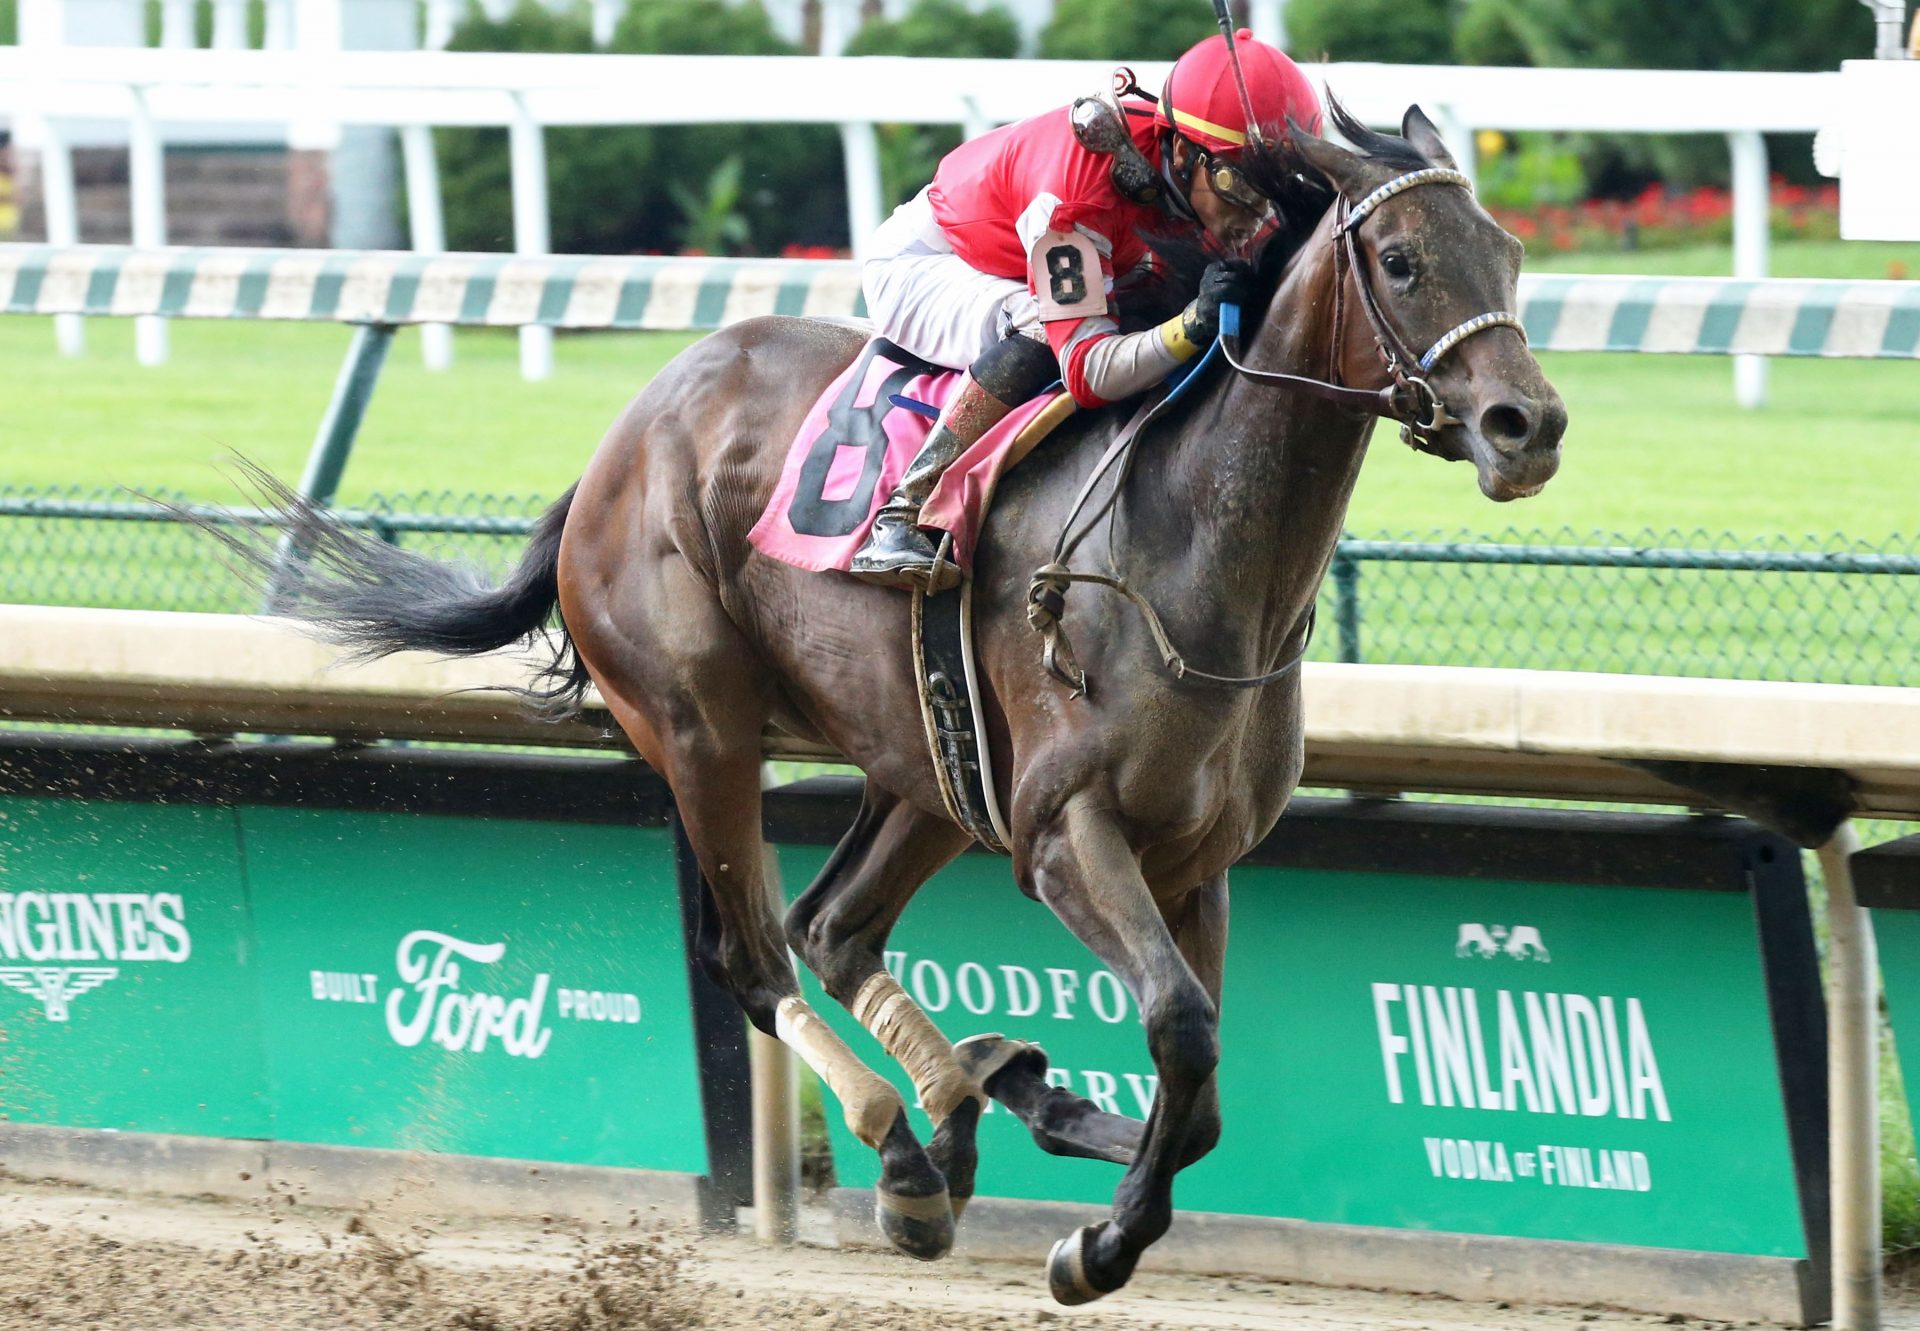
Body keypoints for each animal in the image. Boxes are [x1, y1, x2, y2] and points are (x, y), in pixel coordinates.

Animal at [206, 106, 1559, 1306]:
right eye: (1401, 259)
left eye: (1509, 254)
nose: (1528, 425)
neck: (1187, 542)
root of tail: (612, 451)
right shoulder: (1064, 831)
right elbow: (1181, 1027)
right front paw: (1095, 1242)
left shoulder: (1195, 855)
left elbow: (1205, 1099)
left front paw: (1045, 1104)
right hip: (702, 728)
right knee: (754, 953)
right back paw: (907, 1150)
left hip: (929, 768)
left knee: (834, 923)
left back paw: (972, 1092)